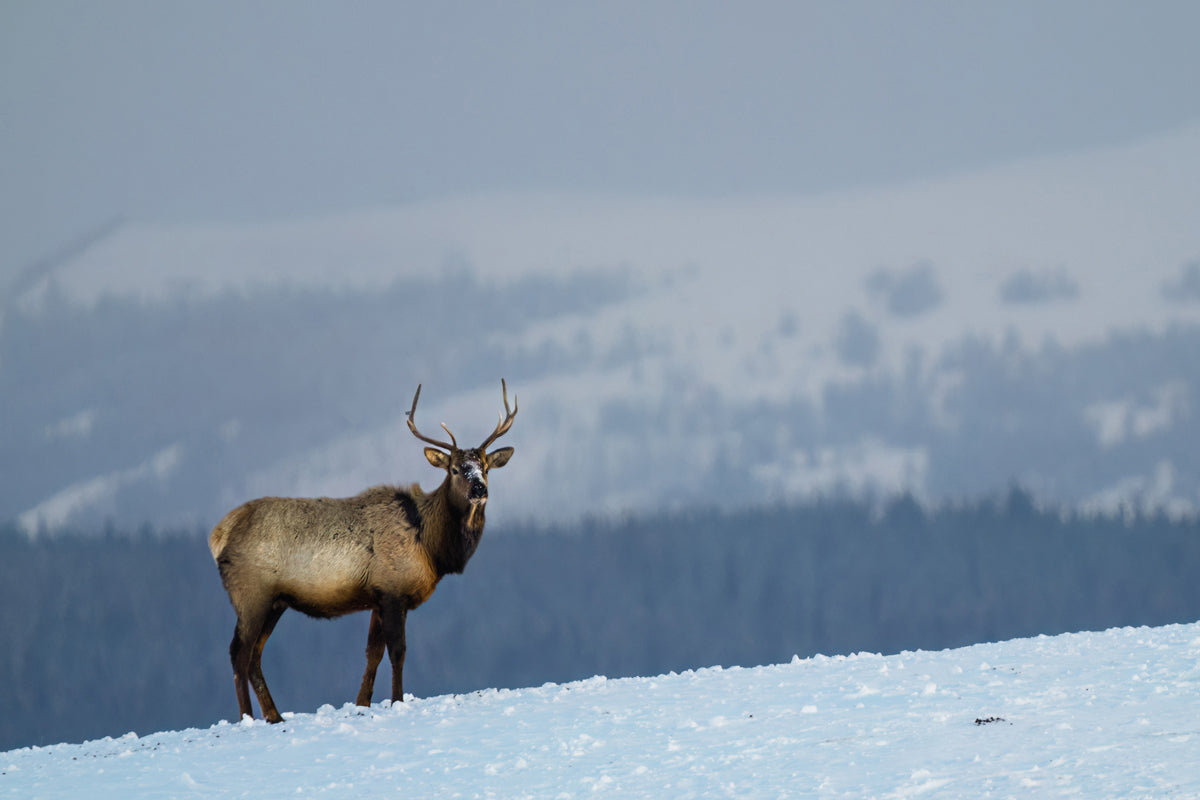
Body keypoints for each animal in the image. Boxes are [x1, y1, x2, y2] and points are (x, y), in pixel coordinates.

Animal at [207, 379, 516, 724]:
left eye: (485, 467)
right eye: (454, 470)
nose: (479, 489)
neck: (431, 547)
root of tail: (218, 534)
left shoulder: (377, 596)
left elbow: (373, 653)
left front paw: (362, 703)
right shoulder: (393, 591)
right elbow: (397, 651)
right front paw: (396, 700)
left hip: (275, 601)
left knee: (254, 655)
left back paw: (274, 715)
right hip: (251, 595)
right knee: (239, 652)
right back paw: (247, 718)